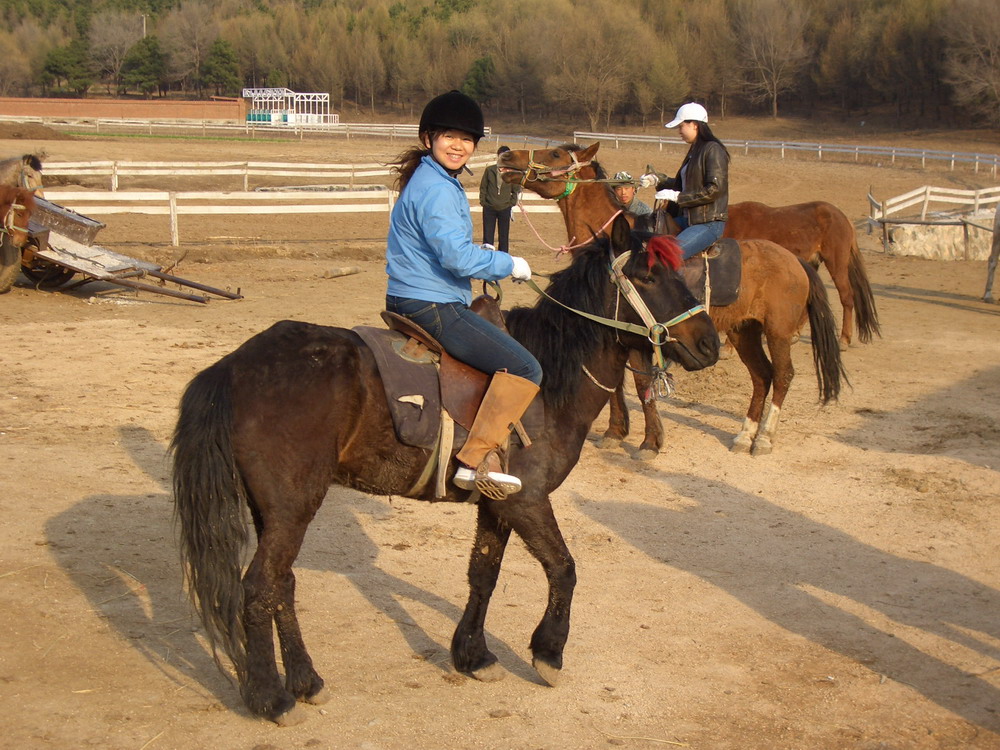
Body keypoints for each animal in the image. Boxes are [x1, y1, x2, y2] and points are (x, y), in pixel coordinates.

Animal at [170, 216, 720, 728]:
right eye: (647, 276)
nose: (710, 344)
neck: (548, 381)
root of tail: (233, 367)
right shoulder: (528, 500)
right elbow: (563, 568)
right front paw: (548, 652)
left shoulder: (500, 504)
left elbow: (484, 573)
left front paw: (473, 656)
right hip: (291, 508)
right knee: (258, 589)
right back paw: (273, 697)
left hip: (278, 510)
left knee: (281, 585)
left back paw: (307, 681)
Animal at [500, 143, 844, 456]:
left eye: (555, 153)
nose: (506, 154)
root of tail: (794, 261)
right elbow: (616, 384)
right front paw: (616, 432)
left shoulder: (641, 338)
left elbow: (640, 385)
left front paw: (650, 441)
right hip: (743, 331)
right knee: (762, 376)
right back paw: (745, 435)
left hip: (777, 332)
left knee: (783, 376)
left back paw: (763, 439)